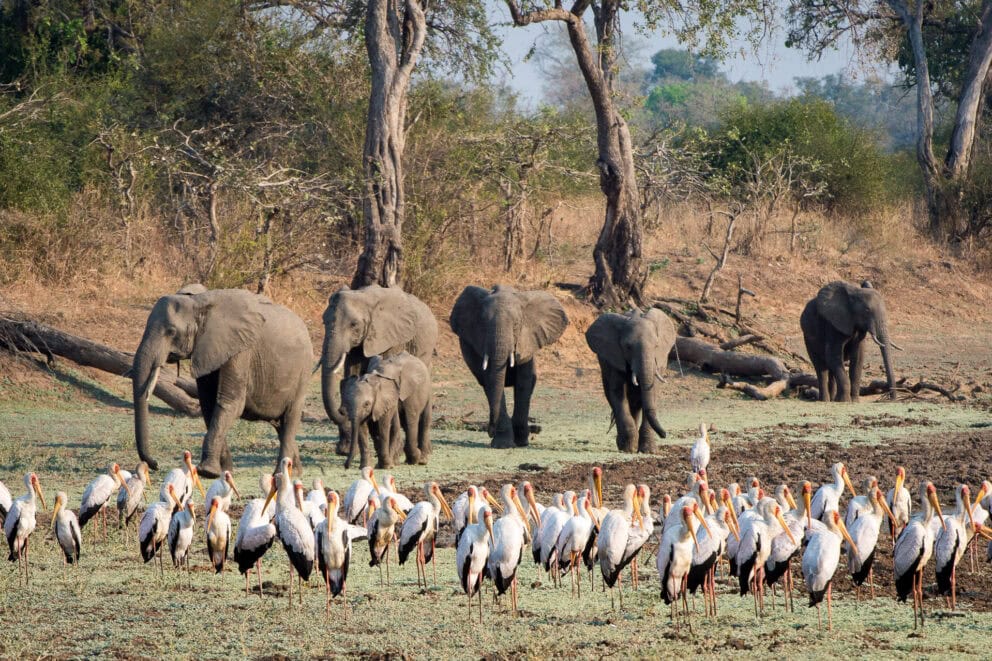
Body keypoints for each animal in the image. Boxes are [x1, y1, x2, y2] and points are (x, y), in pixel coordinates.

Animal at [132, 287, 313, 478]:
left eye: (171, 332)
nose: (155, 464)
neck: (199, 303)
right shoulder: (207, 350)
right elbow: (208, 405)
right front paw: (224, 472)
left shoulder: (241, 350)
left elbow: (230, 402)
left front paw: (207, 472)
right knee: (281, 426)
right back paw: (296, 472)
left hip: (303, 374)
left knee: (290, 418)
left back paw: (281, 475)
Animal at [320, 285, 437, 456]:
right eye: (324, 321)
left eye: (354, 324)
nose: (342, 411)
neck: (365, 297)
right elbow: (354, 372)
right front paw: (346, 451)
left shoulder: (392, 336)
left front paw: (395, 452)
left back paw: (424, 451)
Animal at [450, 285, 569, 448]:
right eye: (483, 324)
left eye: (516, 325)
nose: (490, 431)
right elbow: (490, 380)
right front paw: (503, 445)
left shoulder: (527, 340)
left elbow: (524, 382)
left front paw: (522, 442)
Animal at [585, 308, 676, 454]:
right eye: (628, 347)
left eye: (656, 346)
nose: (664, 434)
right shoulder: (615, 359)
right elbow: (618, 393)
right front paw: (628, 449)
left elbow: (652, 393)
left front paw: (648, 451)